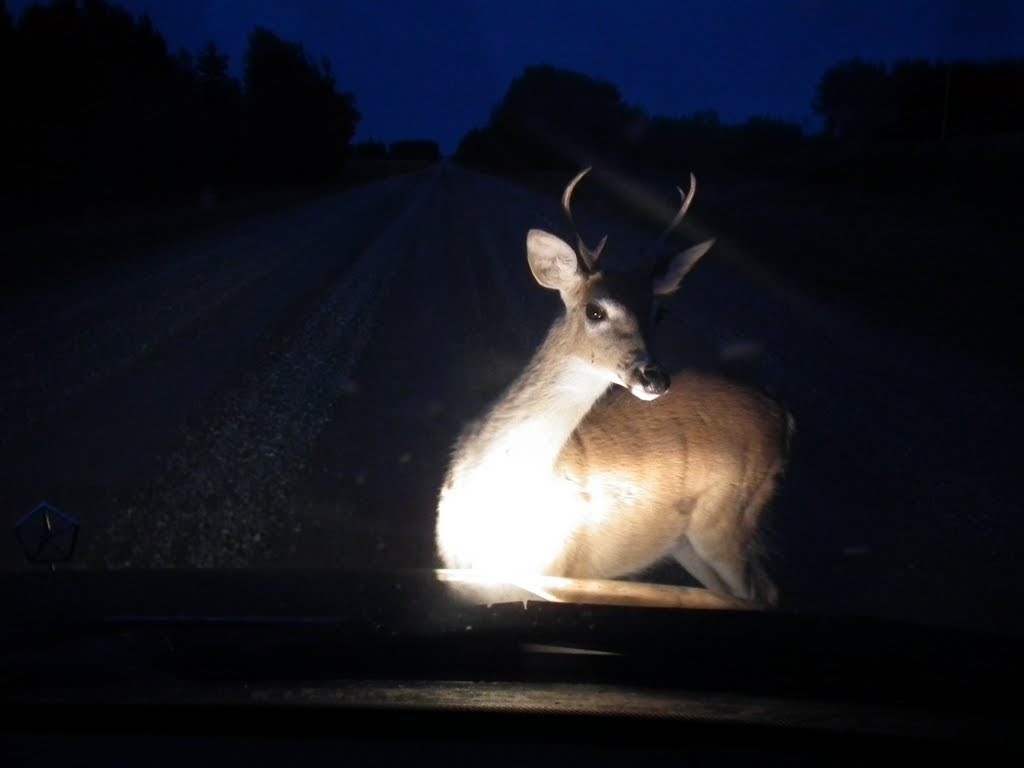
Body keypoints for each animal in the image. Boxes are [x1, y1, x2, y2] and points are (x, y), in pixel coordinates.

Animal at [435, 167, 793, 607]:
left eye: (659, 313)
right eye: (595, 310)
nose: (654, 377)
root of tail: (784, 415)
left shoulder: (564, 574)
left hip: (728, 519)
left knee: (764, 592)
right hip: (688, 542)